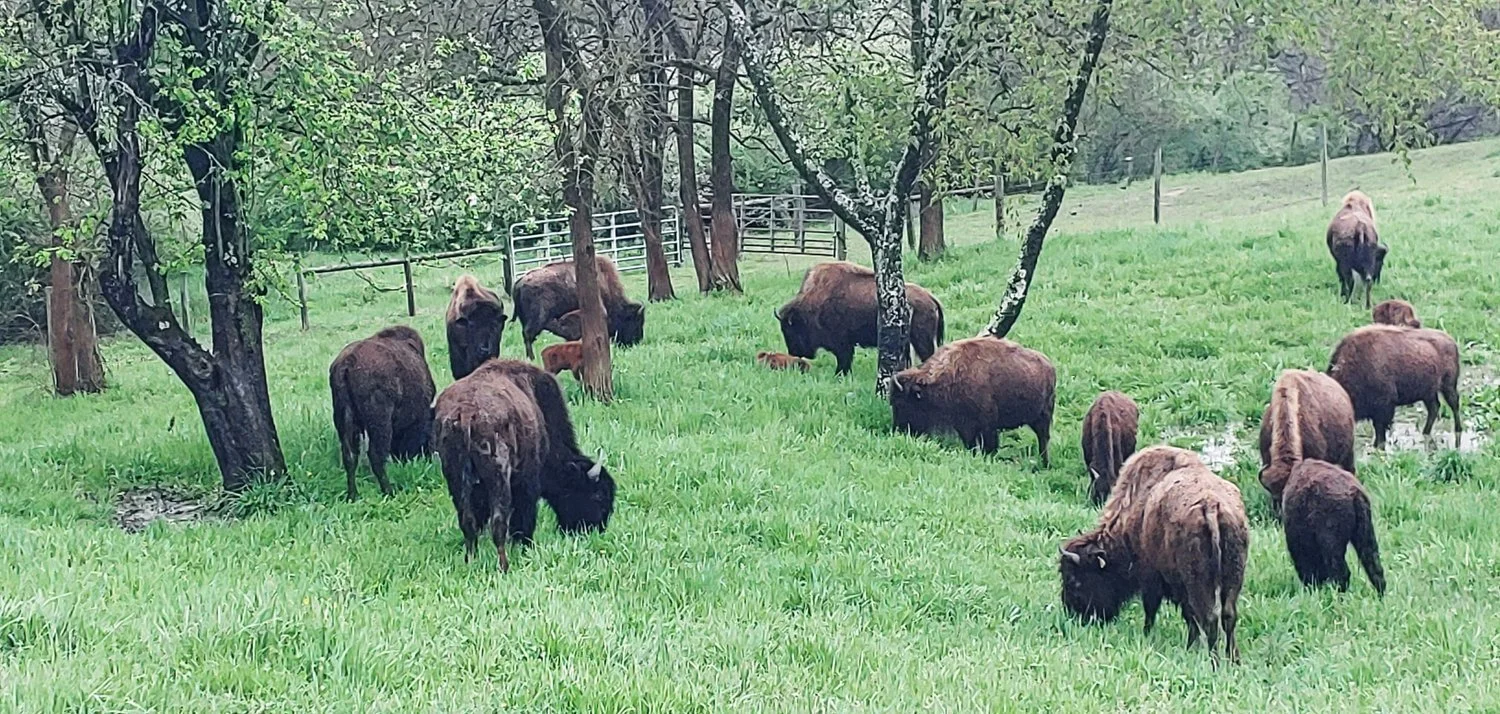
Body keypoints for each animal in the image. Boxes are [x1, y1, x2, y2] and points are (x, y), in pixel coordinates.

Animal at [329, 325, 437, 500]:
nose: (425, 457)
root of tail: (348, 363)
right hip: (380, 422)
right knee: (375, 455)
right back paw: (389, 491)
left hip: (344, 417)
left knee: (350, 456)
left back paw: (353, 495)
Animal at [776, 261, 944, 375]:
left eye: (790, 329)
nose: (795, 353)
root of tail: (930, 298)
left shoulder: (842, 344)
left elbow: (843, 359)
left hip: (921, 340)